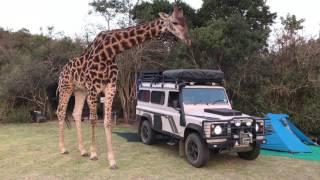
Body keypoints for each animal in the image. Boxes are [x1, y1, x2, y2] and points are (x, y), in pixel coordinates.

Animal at [56, 5, 191, 169]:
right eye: (174, 22)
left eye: (185, 21)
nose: (188, 40)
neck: (109, 52)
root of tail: (61, 71)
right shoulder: (93, 88)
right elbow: (94, 119)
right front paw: (94, 154)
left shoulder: (110, 87)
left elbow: (107, 121)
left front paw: (111, 160)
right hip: (66, 87)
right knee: (61, 112)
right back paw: (63, 148)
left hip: (79, 90)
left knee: (76, 113)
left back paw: (82, 150)